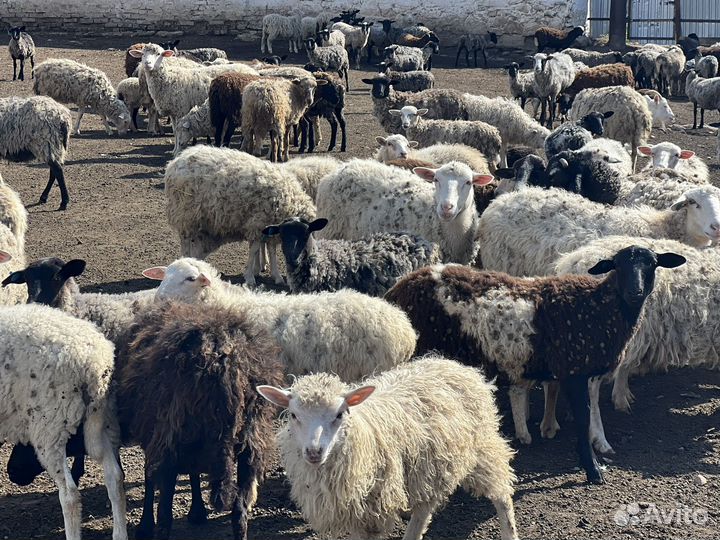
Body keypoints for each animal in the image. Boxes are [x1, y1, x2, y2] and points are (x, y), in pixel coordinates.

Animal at [0, 303, 128, 540]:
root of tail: (94, 363)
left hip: (49, 424)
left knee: (70, 494)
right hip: (103, 418)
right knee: (115, 477)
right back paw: (120, 534)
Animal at [116, 301, 284, 540]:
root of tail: (225, 364)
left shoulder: (157, 438)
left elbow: (150, 478)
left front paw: (145, 526)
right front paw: (197, 511)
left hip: (170, 436)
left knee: (165, 516)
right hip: (251, 443)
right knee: (239, 514)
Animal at [165, 145, 316, 286]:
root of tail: (175, 162)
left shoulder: (269, 227)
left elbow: (271, 250)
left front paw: (276, 276)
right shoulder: (257, 224)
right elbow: (254, 250)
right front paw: (250, 277)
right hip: (185, 215)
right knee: (185, 242)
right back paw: (186, 259)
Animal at [256, 355, 519, 540]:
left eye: (340, 414)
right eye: (293, 415)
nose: (314, 452)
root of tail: (457, 366)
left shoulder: (373, 511)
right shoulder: (355, 510)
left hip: (482, 447)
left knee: (502, 494)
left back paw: (509, 531)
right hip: (431, 467)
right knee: (424, 510)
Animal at [385, 248, 685, 483]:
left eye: (651, 263)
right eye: (618, 265)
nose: (635, 291)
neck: (598, 307)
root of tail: (399, 289)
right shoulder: (573, 372)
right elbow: (583, 418)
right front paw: (592, 470)